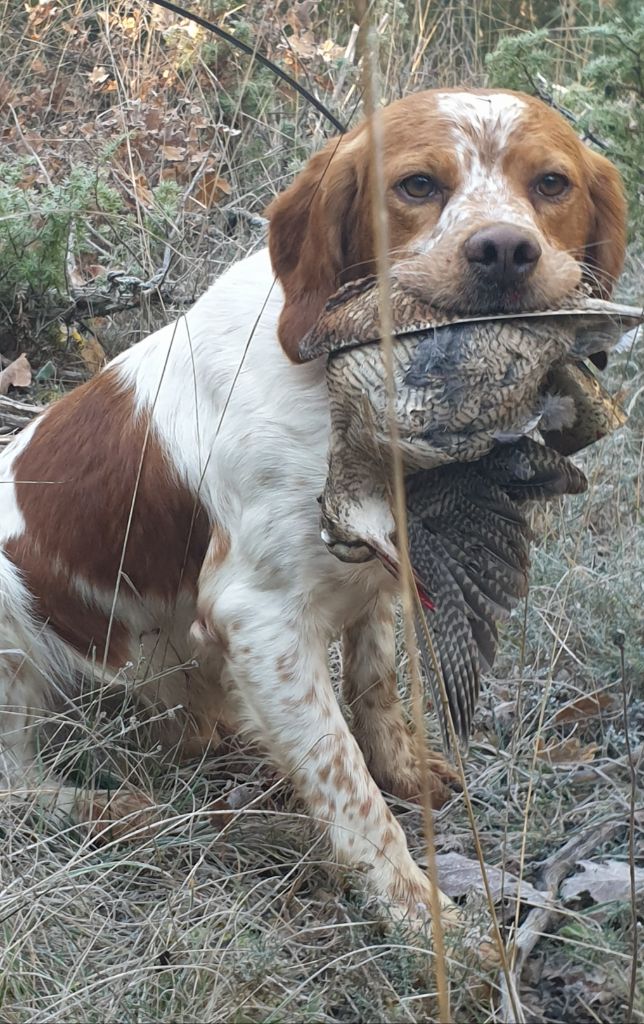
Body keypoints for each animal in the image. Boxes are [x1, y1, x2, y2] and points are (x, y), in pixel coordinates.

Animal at [0, 88, 622, 921]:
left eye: (553, 183)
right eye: (416, 185)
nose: (502, 252)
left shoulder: (380, 567)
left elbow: (376, 683)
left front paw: (407, 773)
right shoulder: (261, 619)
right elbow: (344, 780)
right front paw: (420, 913)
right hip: (13, 618)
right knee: (17, 781)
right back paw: (108, 808)